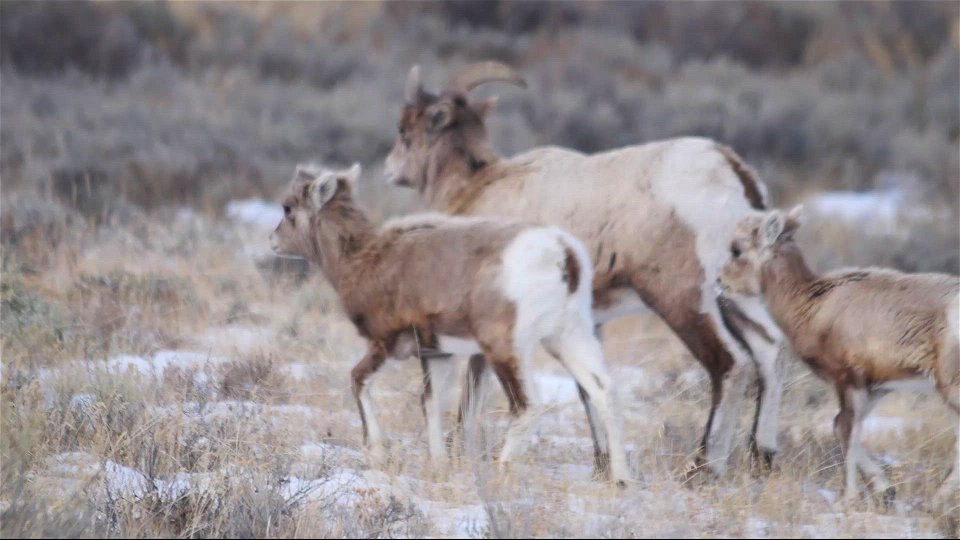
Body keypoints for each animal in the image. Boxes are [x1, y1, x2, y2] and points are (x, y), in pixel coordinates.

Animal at [270, 162, 632, 484]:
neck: (362, 259)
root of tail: (563, 253)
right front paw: (439, 467)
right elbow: (431, 404)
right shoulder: (437, 355)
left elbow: (358, 380)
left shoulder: (385, 344)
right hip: (568, 337)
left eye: (288, 209)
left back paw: (501, 472)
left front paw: (376, 452)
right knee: (604, 390)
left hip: (506, 350)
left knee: (527, 406)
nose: (273, 242)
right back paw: (621, 480)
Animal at [384, 61, 788, 474]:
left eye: (404, 129)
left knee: (731, 365)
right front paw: (603, 465)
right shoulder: (586, 324)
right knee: (770, 348)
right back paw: (762, 457)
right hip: (736, 297)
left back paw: (704, 468)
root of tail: (734, 172)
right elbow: (587, 389)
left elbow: (473, 392)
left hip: (684, 300)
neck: (479, 183)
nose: (389, 170)